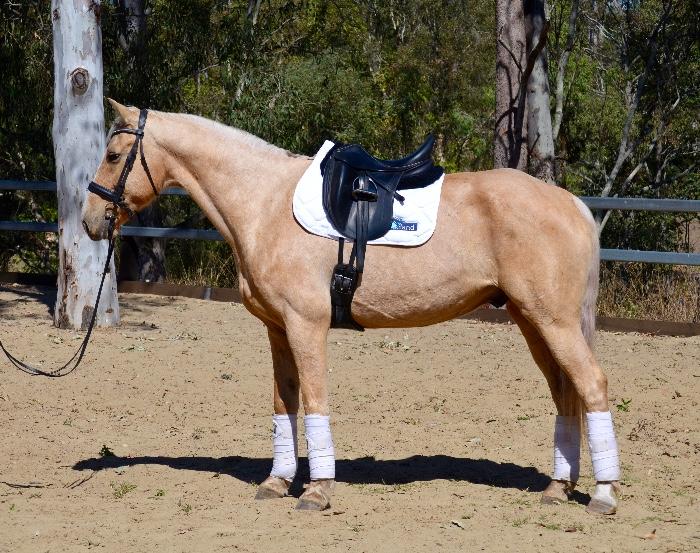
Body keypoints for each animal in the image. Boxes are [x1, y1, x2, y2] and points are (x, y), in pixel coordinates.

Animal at [82, 100, 621, 514]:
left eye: (113, 154)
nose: (90, 220)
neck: (264, 202)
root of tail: (570, 203)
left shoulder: (307, 324)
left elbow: (315, 401)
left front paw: (317, 491)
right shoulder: (277, 329)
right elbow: (284, 404)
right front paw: (277, 482)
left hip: (553, 321)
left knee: (592, 385)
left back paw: (604, 495)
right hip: (533, 321)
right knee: (566, 394)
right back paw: (557, 488)